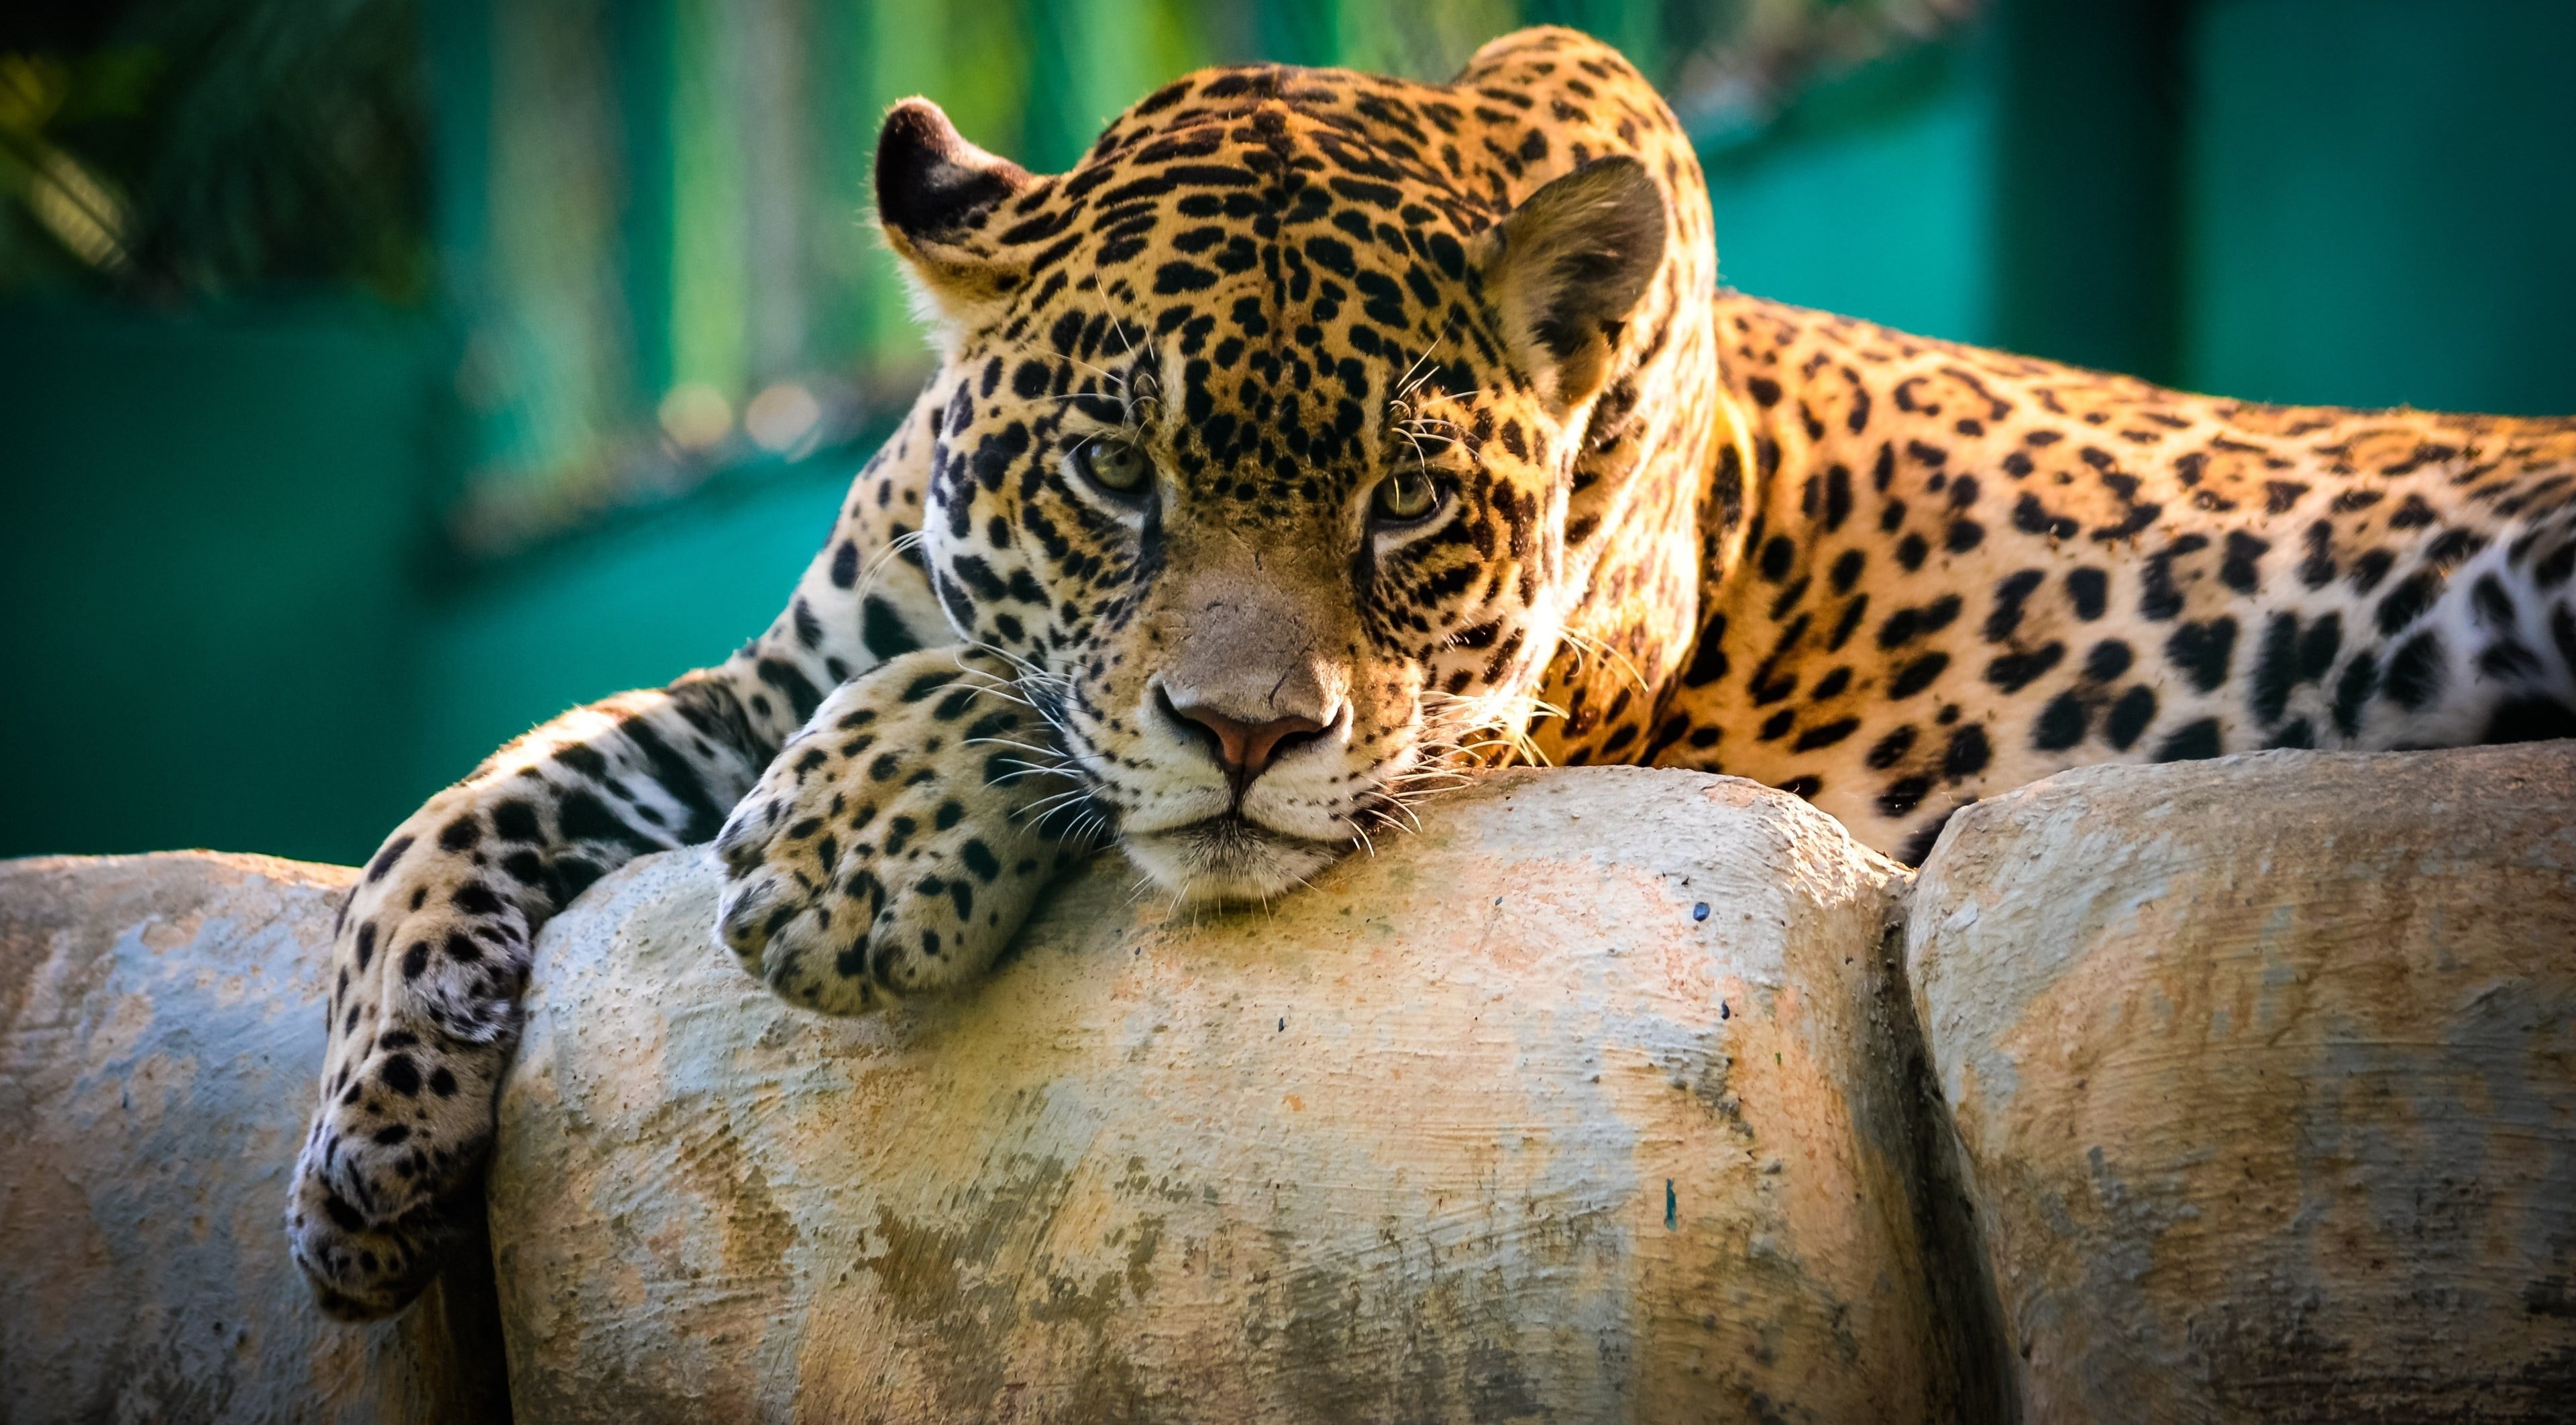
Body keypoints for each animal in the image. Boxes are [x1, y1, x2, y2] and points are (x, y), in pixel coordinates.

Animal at [289, 25, 2576, 1319]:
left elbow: (1042, 720)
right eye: (1111, 470)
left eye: (1405, 507)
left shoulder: (1511, 712)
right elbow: (459, 806)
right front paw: (365, 1162)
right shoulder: (757, 684)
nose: (1246, 733)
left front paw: (853, 852)